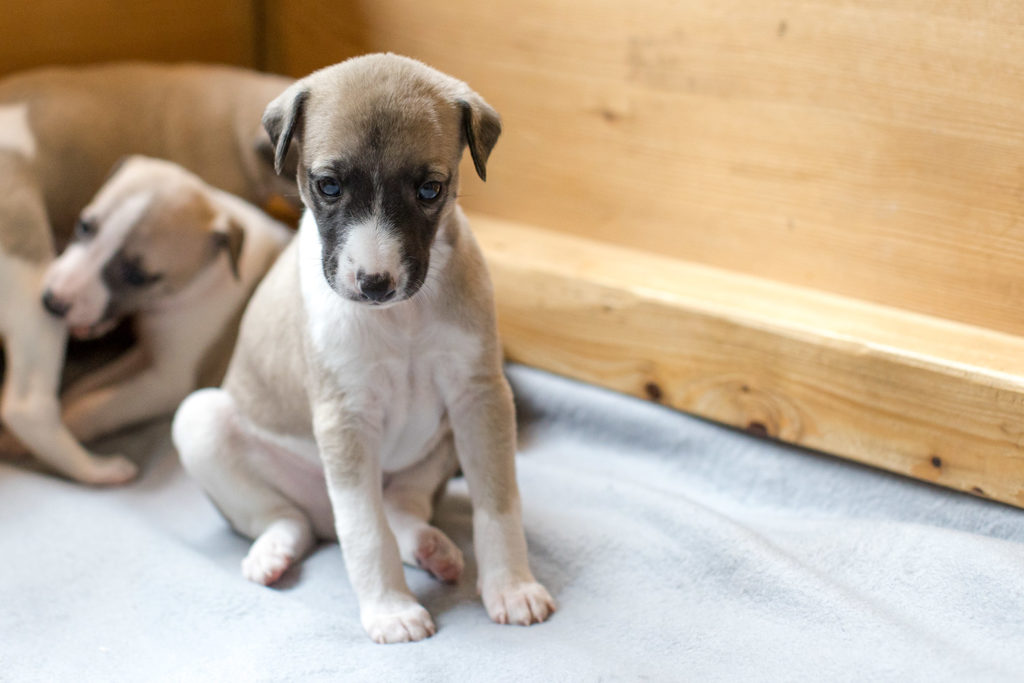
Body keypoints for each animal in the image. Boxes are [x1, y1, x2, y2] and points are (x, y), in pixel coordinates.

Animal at [0, 61, 299, 483]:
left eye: (138, 275)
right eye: (84, 226)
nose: (54, 301)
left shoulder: (168, 378)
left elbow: (98, 404)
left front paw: (66, 424)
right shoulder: (144, 353)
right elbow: (91, 386)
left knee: (28, 406)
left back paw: (97, 468)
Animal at [172, 54, 557, 647]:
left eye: (430, 190)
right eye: (328, 185)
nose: (375, 284)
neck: (402, 318)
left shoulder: (481, 398)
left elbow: (498, 501)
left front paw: (512, 586)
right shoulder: (345, 419)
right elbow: (365, 529)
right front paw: (391, 610)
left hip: (439, 447)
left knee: (401, 506)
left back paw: (432, 548)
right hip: (203, 421)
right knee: (291, 519)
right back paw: (273, 552)